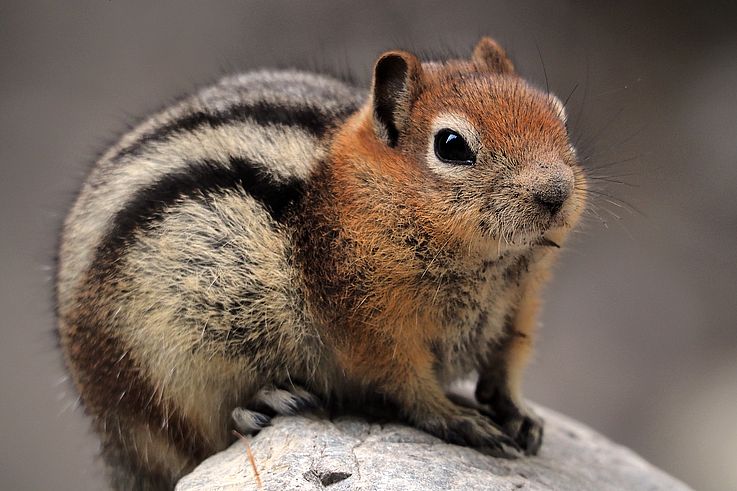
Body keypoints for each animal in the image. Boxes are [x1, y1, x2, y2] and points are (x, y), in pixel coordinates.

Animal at [55, 37, 586, 490]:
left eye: (559, 117)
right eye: (451, 145)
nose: (555, 193)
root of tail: (114, 447)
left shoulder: (518, 304)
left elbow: (506, 361)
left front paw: (518, 413)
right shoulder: (367, 321)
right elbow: (406, 382)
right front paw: (459, 419)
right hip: (165, 371)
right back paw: (263, 403)